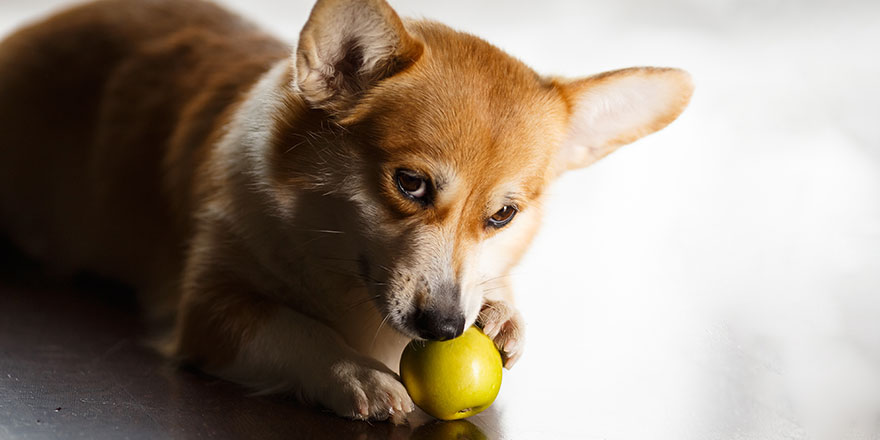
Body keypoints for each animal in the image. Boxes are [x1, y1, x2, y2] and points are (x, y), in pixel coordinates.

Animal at [0, 0, 692, 424]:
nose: (446, 327)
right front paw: (356, 374)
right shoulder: (211, 308)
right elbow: (294, 327)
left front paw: (501, 316)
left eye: (502, 215)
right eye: (411, 184)